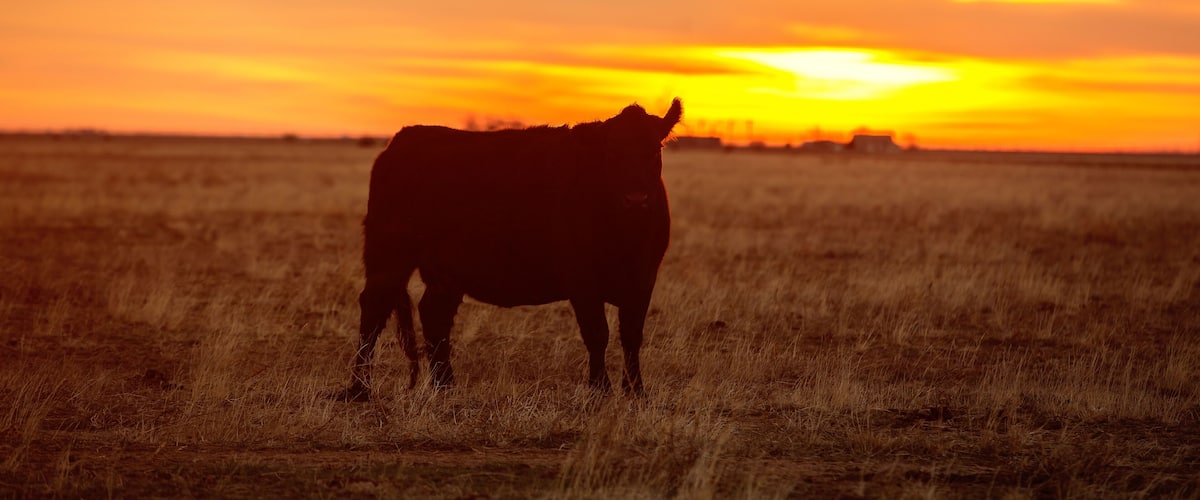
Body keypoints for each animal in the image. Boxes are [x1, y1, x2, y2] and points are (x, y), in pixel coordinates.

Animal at [335, 98, 683, 401]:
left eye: (656, 149)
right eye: (612, 153)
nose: (636, 198)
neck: (626, 236)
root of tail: (404, 138)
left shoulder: (643, 280)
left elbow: (631, 336)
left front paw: (636, 391)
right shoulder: (582, 281)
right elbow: (597, 334)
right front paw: (601, 390)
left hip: (445, 271)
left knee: (434, 315)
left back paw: (445, 385)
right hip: (388, 254)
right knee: (374, 309)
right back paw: (359, 388)